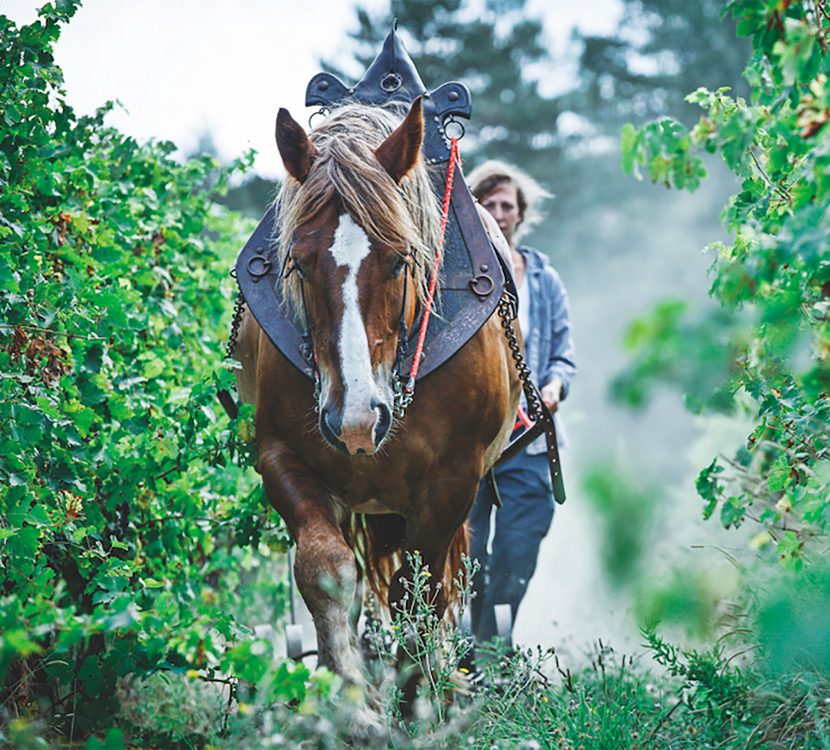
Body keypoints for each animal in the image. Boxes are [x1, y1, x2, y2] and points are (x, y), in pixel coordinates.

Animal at [236, 97, 520, 732]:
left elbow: (420, 597)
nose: (356, 421)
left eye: (397, 261)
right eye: (300, 262)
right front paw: (352, 702)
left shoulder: (451, 483)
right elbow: (328, 569)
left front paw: (418, 705)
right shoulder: (283, 459)